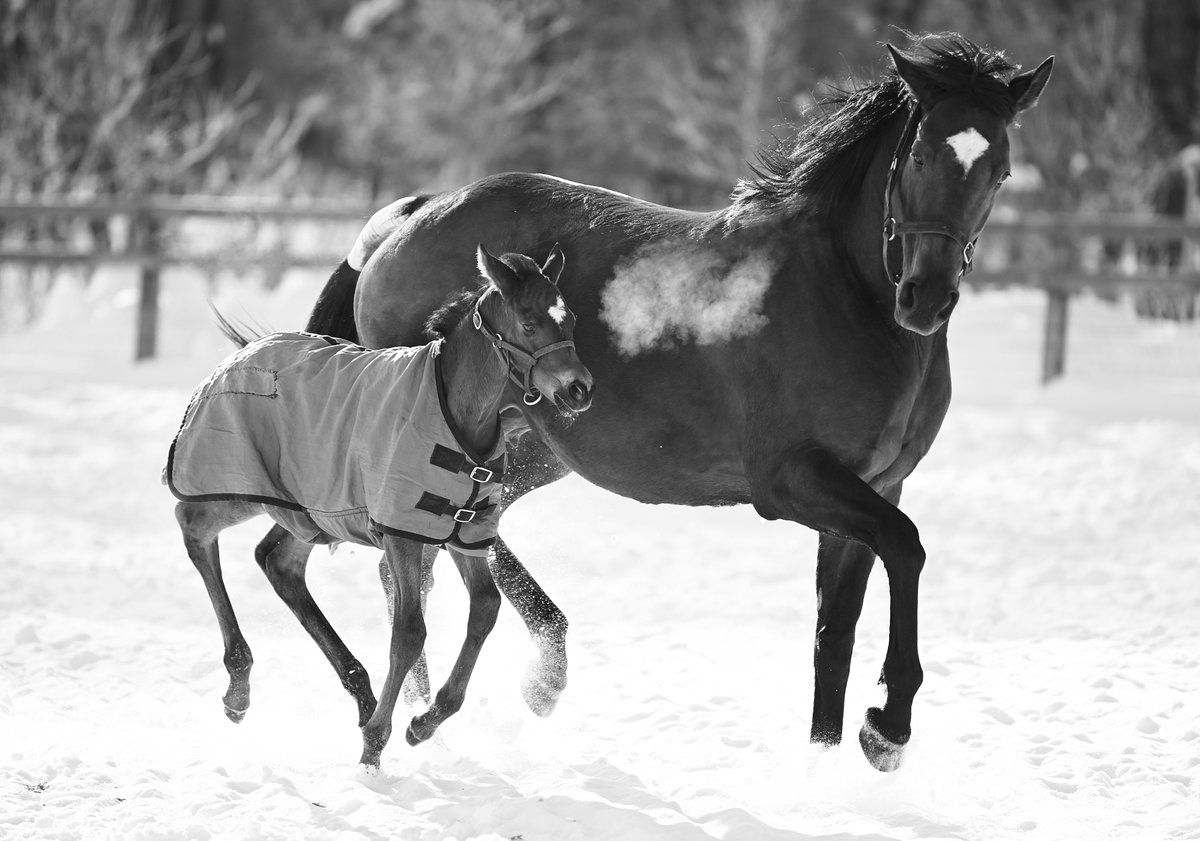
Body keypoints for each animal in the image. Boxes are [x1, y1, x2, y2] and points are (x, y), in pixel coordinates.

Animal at [168, 244, 593, 766]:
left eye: (570, 320)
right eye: (530, 324)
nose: (580, 388)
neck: (454, 412)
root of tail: (241, 356)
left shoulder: (464, 533)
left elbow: (485, 610)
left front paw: (424, 723)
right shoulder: (403, 532)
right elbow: (409, 631)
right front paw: (377, 743)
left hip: (310, 512)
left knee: (278, 563)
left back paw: (357, 693)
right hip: (241, 484)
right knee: (194, 525)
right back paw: (240, 683)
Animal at [304, 32, 1053, 772]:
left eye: (1001, 171)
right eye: (922, 154)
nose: (926, 298)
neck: (843, 294)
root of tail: (407, 219)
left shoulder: (878, 485)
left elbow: (833, 632)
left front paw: (825, 760)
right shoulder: (794, 480)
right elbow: (907, 548)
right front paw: (887, 727)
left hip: (526, 454)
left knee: (426, 560)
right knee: (411, 566)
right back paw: (480, 697)